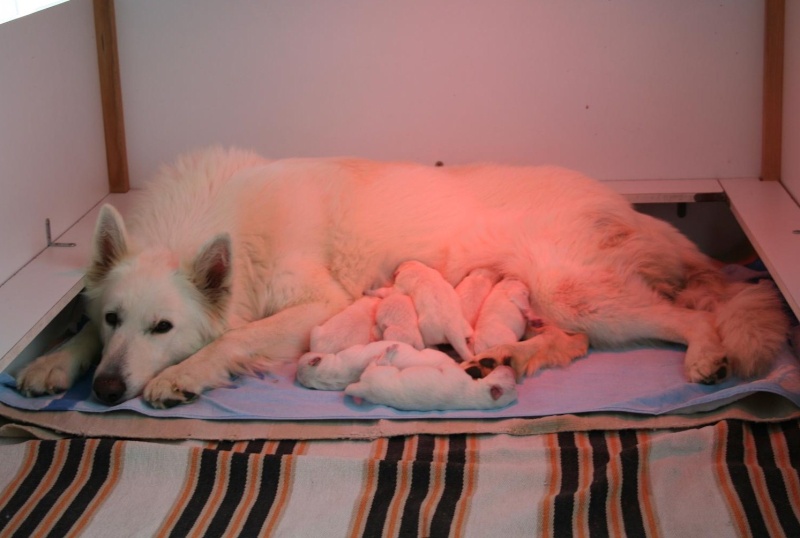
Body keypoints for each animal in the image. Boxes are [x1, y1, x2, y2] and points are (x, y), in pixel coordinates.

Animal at [346, 362, 520, 408]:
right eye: (507, 375)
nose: (509, 366)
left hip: (381, 373)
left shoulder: (456, 376)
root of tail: (366, 389)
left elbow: (450, 367)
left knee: (372, 365)